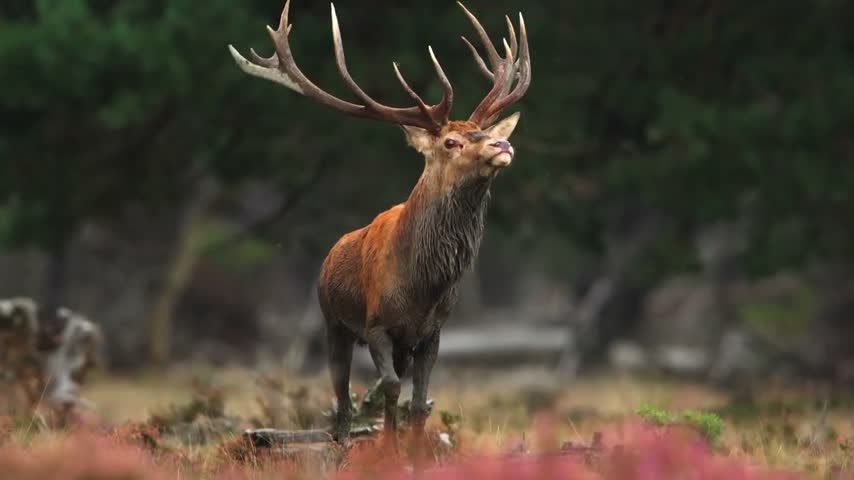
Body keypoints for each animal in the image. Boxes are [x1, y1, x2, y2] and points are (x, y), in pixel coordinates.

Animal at [229, 0, 531, 456]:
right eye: (451, 142)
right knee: (341, 400)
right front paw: (388, 451)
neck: (423, 286)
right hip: (331, 322)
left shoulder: (433, 332)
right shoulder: (376, 326)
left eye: (481, 131)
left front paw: (417, 455)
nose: (503, 144)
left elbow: (420, 403)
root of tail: (330, 253)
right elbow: (388, 387)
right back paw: (339, 444)